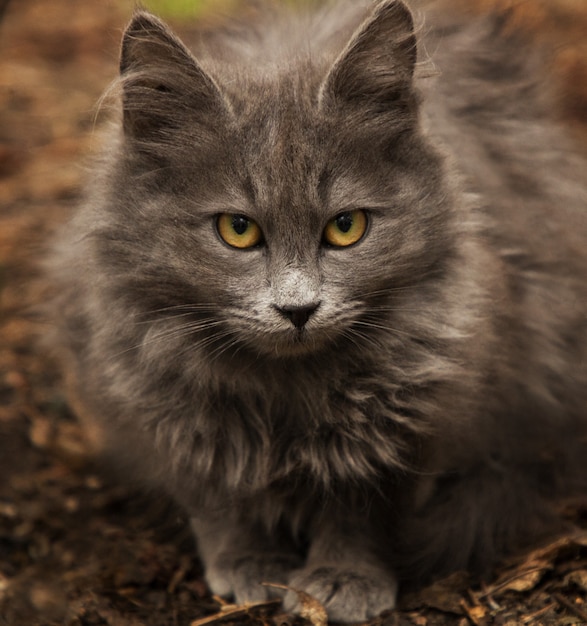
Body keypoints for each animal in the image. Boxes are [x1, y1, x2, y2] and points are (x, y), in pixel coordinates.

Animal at [48, 0, 587, 620]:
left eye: (346, 227)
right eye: (237, 229)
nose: (298, 308)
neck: (284, 390)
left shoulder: (410, 410)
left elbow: (363, 506)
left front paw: (342, 577)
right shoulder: (164, 401)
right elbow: (216, 495)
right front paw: (250, 562)